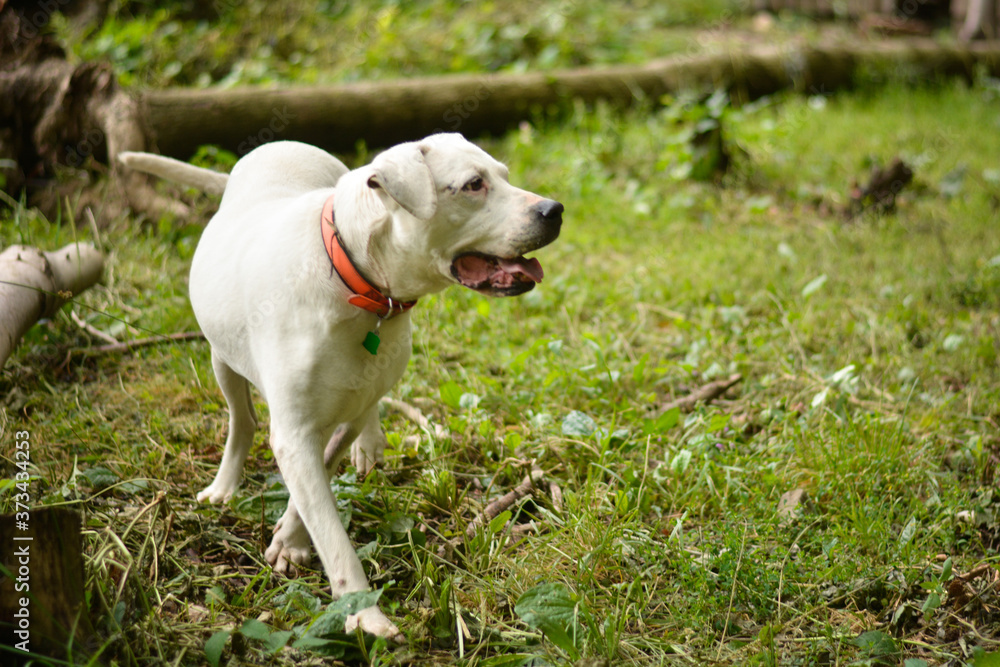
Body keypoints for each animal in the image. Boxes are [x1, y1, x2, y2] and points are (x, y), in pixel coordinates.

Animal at [117, 136, 564, 640]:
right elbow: (329, 528)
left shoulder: (346, 405)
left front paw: (290, 539)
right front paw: (364, 614)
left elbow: (323, 474)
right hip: (222, 359)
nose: (554, 209)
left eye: (503, 174)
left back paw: (368, 446)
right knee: (242, 420)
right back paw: (224, 485)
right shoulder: (294, 433)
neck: (356, 277)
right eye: (473, 184)